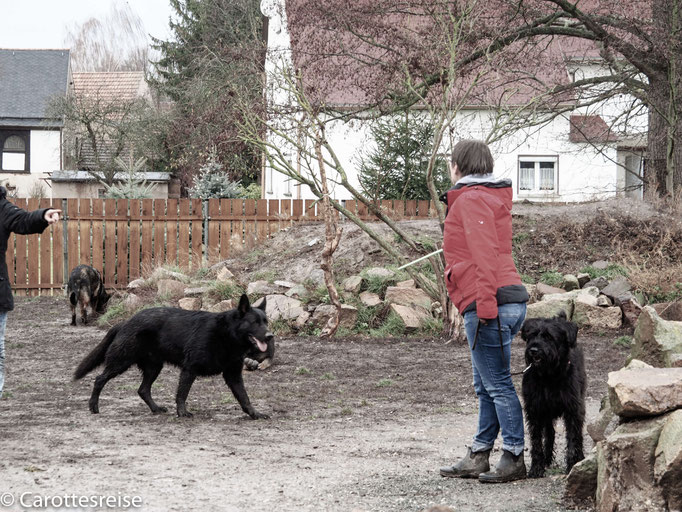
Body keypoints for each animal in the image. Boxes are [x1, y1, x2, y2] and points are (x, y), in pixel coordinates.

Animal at [73, 294, 270, 418]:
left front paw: (254, 414)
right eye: (254, 323)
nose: (270, 336)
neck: (227, 335)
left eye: (266, 322)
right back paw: (93, 406)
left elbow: (244, 397)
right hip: (121, 362)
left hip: (153, 367)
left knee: (142, 390)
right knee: (99, 379)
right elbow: (182, 394)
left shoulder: (233, 375)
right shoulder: (189, 370)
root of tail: (126, 321)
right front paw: (182, 413)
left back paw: (155, 409)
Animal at [520, 310, 584, 478]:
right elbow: (536, 440)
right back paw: (547, 458)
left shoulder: (573, 410)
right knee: (550, 432)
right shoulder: (535, 410)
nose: (533, 350)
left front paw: (572, 465)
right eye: (531, 336)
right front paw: (536, 467)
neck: (549, 377)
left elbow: (573, 438)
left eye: (549, 337)